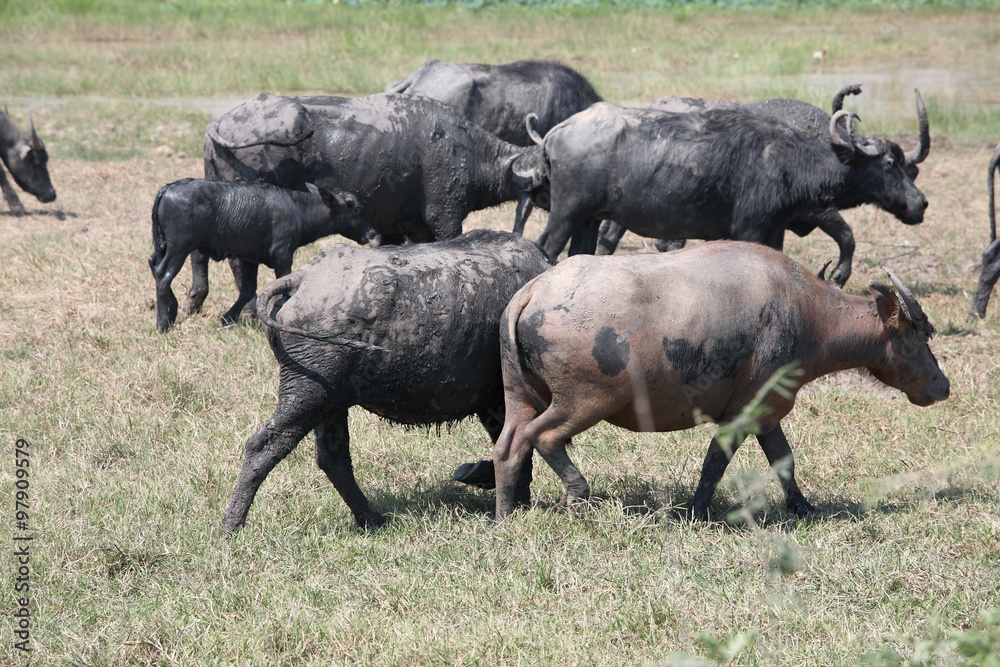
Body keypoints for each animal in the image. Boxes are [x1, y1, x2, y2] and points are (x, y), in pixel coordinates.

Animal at [222, 230, 551, 533]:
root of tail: (301, 279)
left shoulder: (492, 403)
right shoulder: (503, 400)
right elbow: (518, 448)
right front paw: (517, 503)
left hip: (329, 403)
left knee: (332, 458)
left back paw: (371, 518)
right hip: (308, 396)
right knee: (263, 446)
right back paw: (232, 525)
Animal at [490, 241, 949, 520]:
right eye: (919, 336)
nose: (943, 386)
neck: (806, 312)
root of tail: (533, 291)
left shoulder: (767, 415)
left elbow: (784, 460)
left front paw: (803, 507)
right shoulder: (742, 414)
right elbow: (715, 462)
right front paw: (697, 511)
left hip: (521, 396)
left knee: (508, 446)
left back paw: (505, 513)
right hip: (585, 401)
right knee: (544, 437)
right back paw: (577, 496)